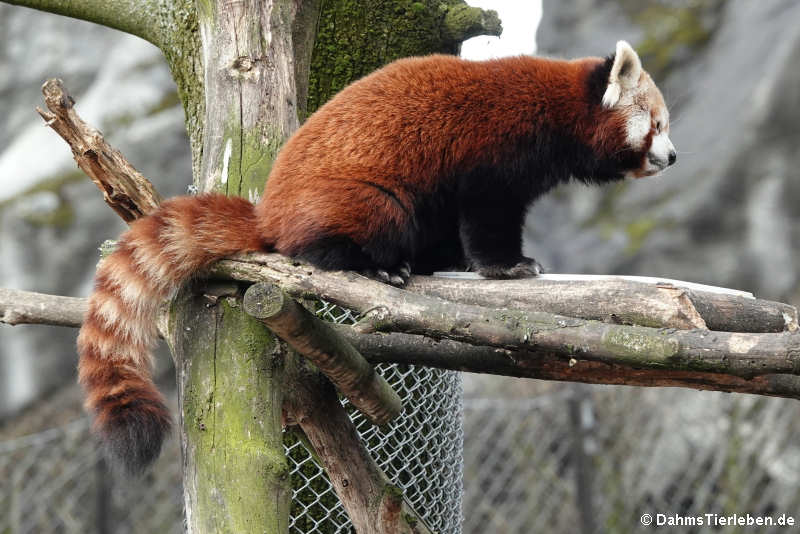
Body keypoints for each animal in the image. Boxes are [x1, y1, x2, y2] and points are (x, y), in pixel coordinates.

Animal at [76, 42, 676, 476]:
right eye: (658, 125)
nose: (672, 157)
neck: (557, 111)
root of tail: (268, 212)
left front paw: (459, 261)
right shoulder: (495, 153)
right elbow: (488, 216)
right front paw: (507, 266)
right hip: (365, 198)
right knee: (349, 230)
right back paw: (370, 264)